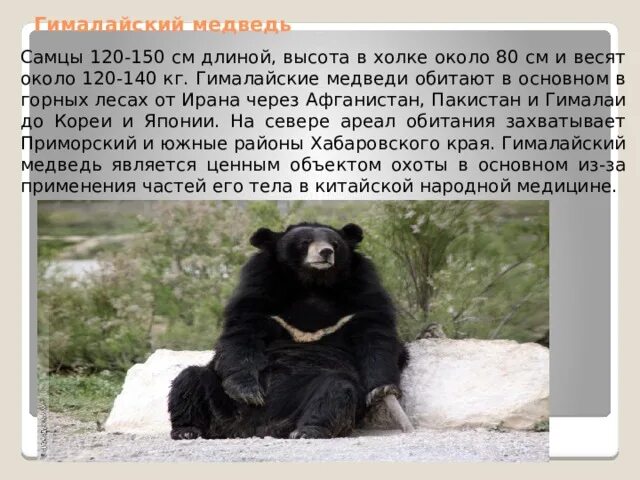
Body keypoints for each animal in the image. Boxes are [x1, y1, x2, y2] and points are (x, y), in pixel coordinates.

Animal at [168, 222, 407, 440]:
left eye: (335, 244)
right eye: (304, 242)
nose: (325, 252)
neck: (312, 282)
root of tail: (254, 429)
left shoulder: (363, 286)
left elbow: (375, 331)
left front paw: (381, 390)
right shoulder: (258, 283)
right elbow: (243, 328)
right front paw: (248, 393)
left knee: (335, 391)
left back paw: (307, 431)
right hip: (223, 405)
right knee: (190, 380)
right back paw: (187, 430)